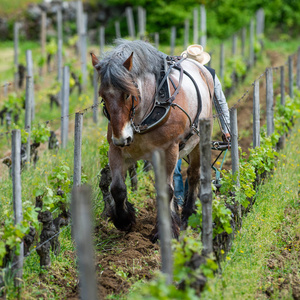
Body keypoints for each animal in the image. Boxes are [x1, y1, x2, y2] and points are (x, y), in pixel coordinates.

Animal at [91, 39, 213, 239]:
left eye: (127, 94)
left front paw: (166, 230)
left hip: (196, 143)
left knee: (194, 175)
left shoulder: (169, 150)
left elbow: (166, 189)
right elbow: (117, 188)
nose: (122, 138)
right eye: (103, 96)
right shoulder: (116, 149)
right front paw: (124, 220)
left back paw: (187, 216)